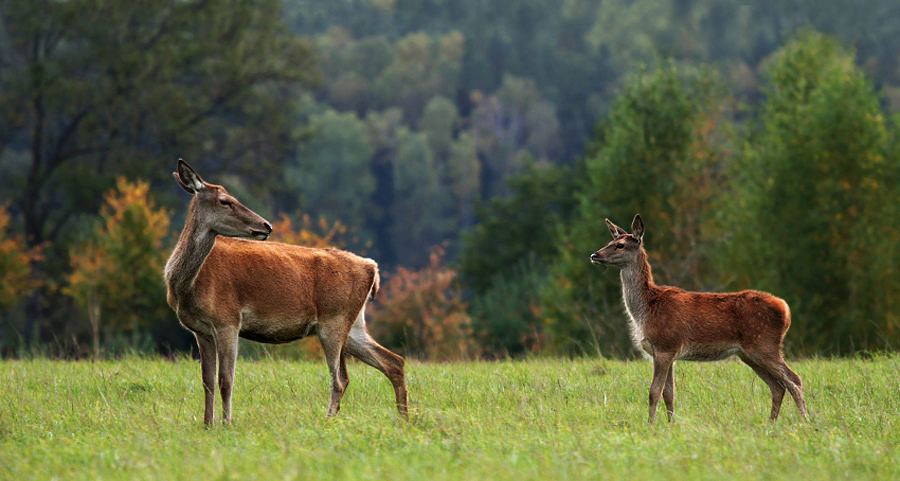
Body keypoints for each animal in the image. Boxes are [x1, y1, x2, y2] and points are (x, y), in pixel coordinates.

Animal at [164, 159, 408, 425]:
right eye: (225, 201)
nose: (266, 225)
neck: (187, 288)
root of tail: (372, 268)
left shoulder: (227, 320)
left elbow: (225, 381)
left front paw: (227, 424)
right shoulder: (201, 331)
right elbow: (207, 382)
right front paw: (208, 425)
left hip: (335, 318)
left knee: (341, 378)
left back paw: (327, 421)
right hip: (354, 325)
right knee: (394, 361)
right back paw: (404, 418)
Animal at [590, 215, 808, 424]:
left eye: (620, 245)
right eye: (610, 241)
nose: (595, 255)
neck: (646, 309)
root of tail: (785, 309)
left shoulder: (664, 346)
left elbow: (654, 392)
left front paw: (650, 425)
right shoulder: (668, 352)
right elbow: (669, 394)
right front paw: (670, 424)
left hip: (764, 344)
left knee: (794, 380)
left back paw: (806, 421)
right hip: (748, 353)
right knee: (777, 386)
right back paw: (771, 423)